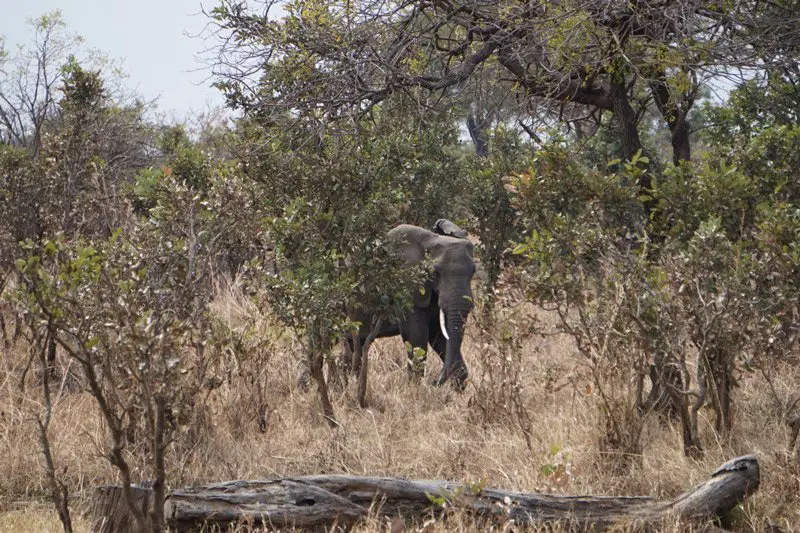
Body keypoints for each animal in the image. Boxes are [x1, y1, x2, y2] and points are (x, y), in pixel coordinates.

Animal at [350, 218, 476, 388]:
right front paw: (415, 389)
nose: (434, 381)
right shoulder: (405, 288)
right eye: (435, 273)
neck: (431, 240)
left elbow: (439, 336)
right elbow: (417, 337)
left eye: (473, 272)